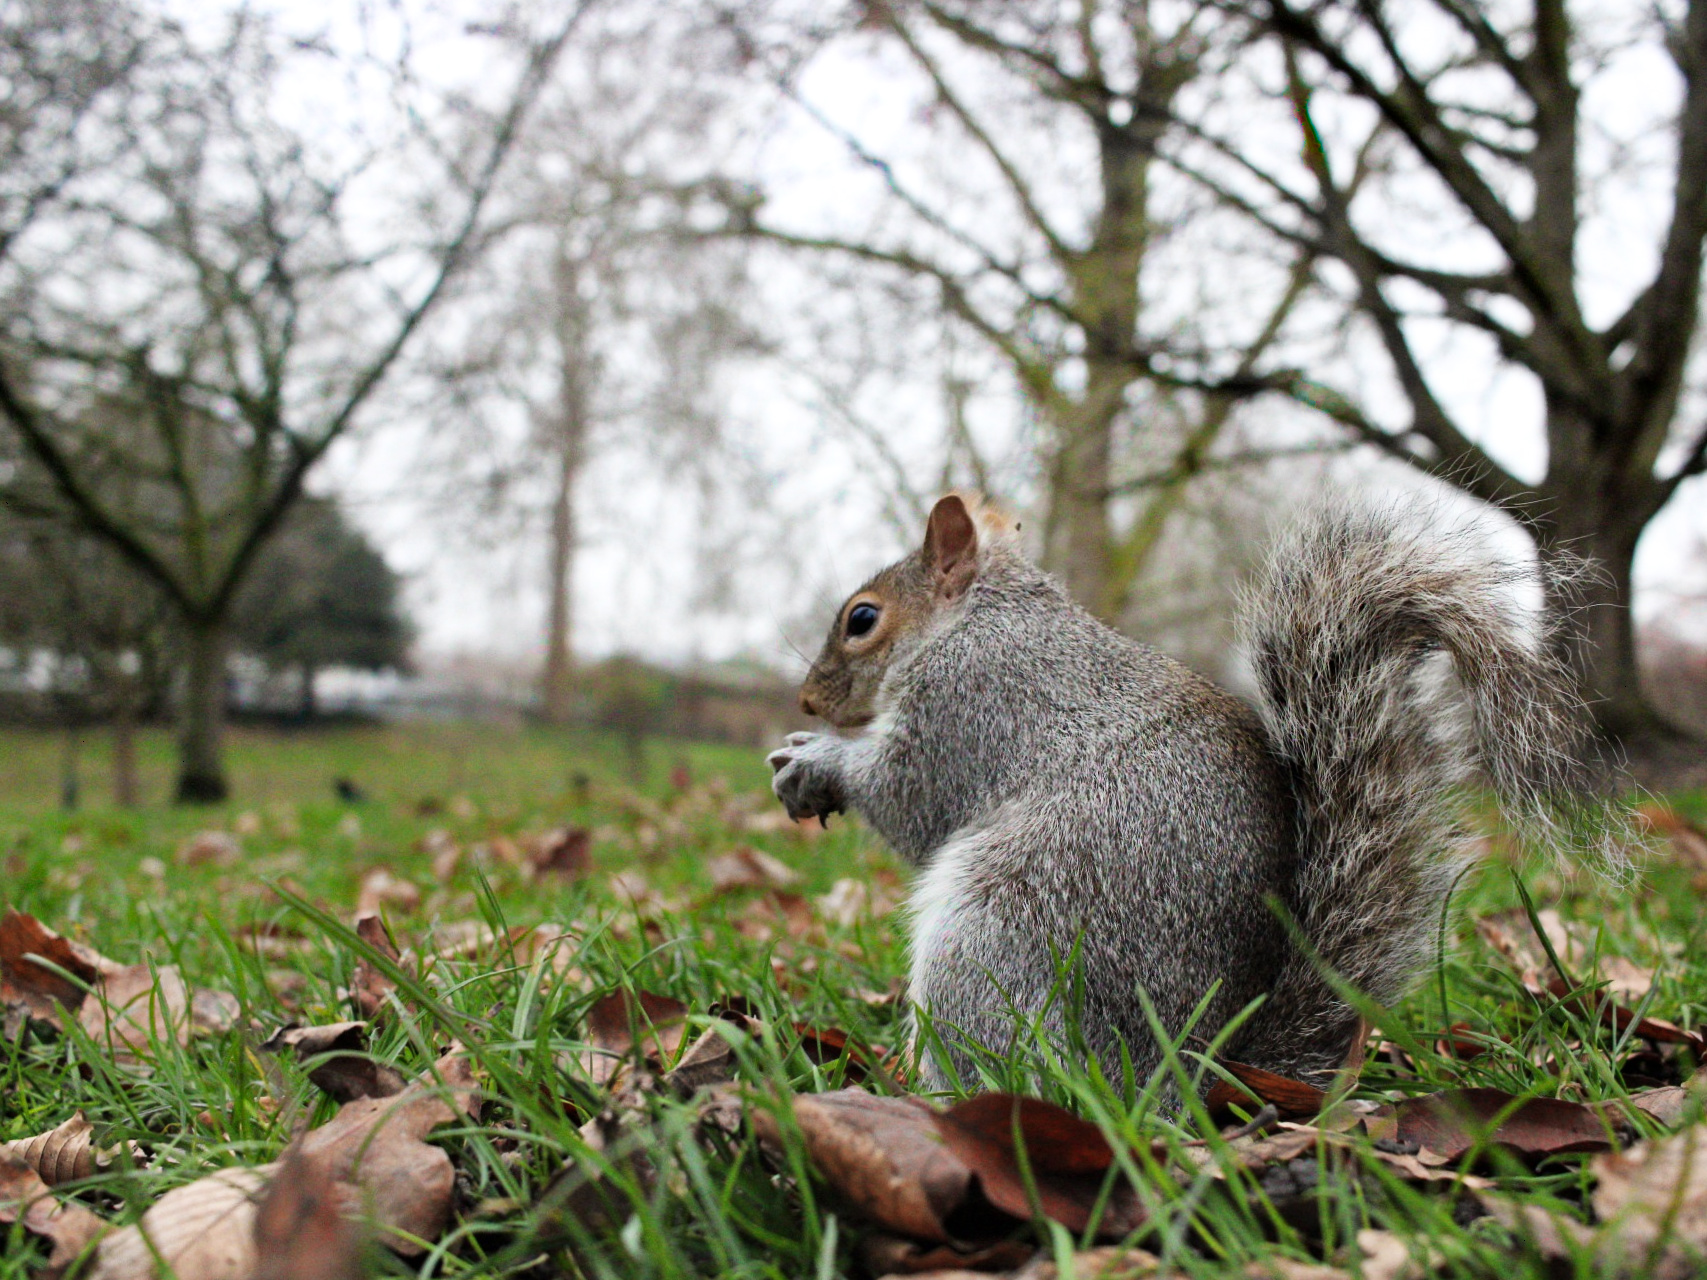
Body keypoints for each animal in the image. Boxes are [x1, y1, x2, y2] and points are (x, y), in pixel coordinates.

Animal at [768, 492, 1589, 1092]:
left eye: (862, 619)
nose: (807, 699)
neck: (981, 613)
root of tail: (1188, 1077)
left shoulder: (968, 703)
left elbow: (908, 795)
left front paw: (818, 762)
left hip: (998, 937)